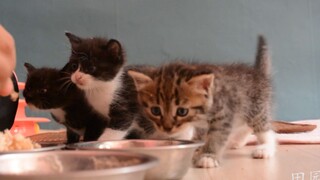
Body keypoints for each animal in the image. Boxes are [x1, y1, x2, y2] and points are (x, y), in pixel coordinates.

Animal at [129, 35, 276, 168]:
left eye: (182, 111)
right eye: (155, 110)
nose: (167, 128)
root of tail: (258, 73)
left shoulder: (223, 113)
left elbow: (216, 136)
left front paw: (208, 156)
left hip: (256, 108)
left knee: (265, 129)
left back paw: (265, 148)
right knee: (245, 126)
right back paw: (236, 142)